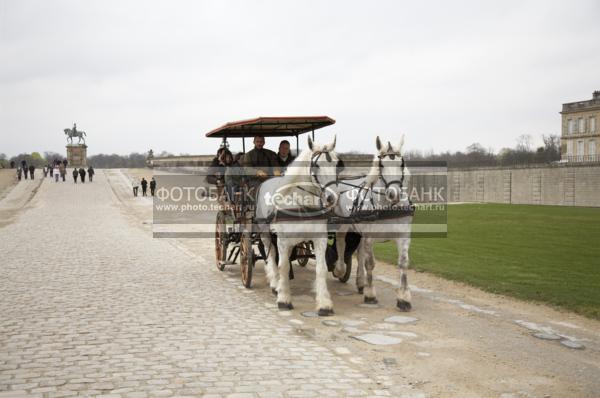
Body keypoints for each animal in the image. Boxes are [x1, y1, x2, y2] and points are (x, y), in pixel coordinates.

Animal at [254, 136, 340, 314]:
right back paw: (275, 283)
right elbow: (283, 266)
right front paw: (284, 299)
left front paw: (324, 303)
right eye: (316, 165)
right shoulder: (283, 240)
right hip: (265, 233)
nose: (332, 198)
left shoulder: (320, 238)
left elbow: (321, 268)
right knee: (270, 255)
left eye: (336, 164)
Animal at [332, 137, 412, 310]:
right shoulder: (370, 236)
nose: (394, 194)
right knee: (341, 241)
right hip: (342, 223)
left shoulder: (403, 235)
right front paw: (370, 295)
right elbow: (370, 264)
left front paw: (404, 298)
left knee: (360, 251)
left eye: (401, 163)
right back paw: (340, 269)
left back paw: (360, 282)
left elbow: (403, 263)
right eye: (381, 165)